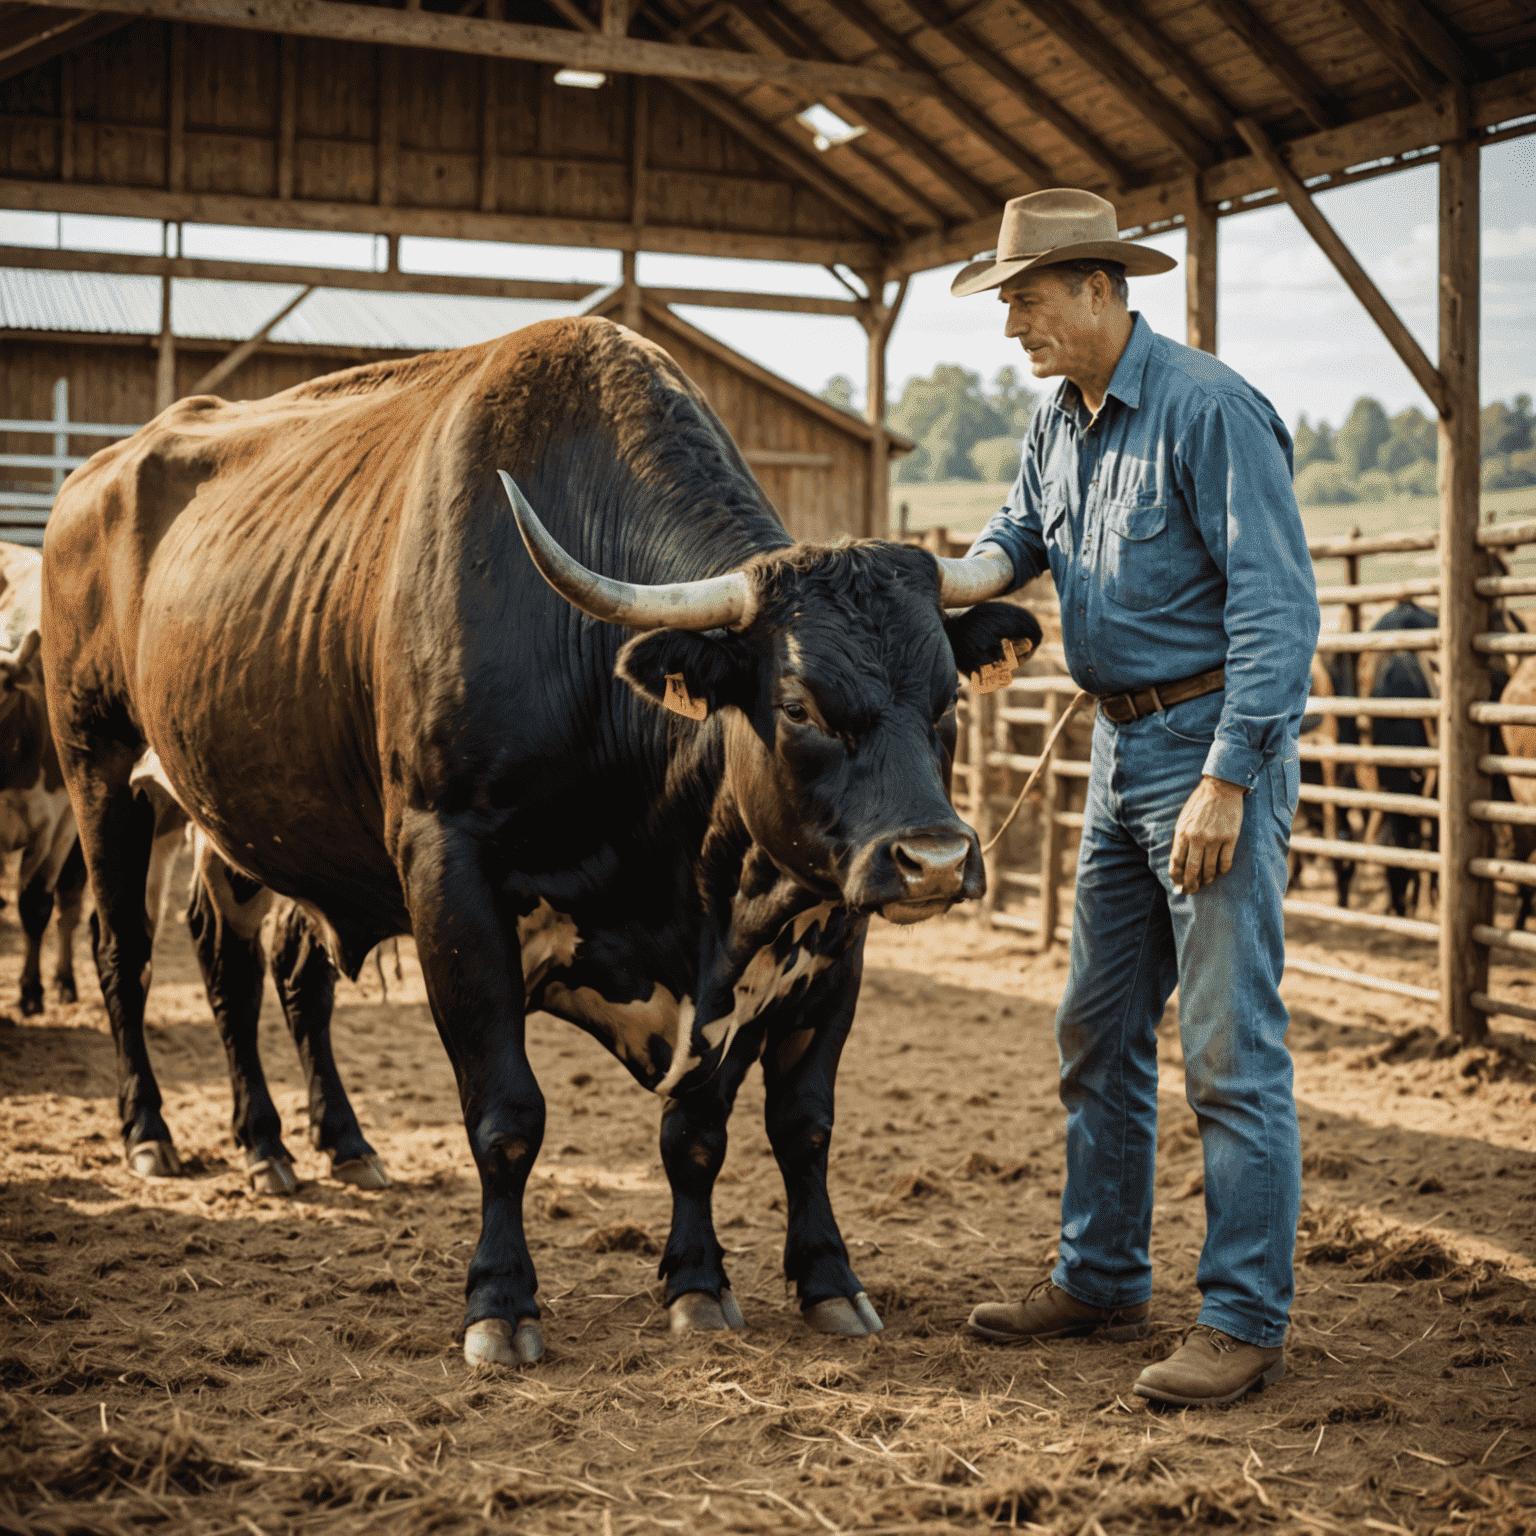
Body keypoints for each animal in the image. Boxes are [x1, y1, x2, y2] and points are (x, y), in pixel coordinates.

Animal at [42, 314, 1038, 1370]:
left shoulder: (822, 933)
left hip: (263, 827)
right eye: (800, 704)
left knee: (260, 967)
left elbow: (765, 1125)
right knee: (126, 953)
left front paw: (766, 1282)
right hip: (103, 774)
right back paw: (152, 1132)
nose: (935, 859)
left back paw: (303, 1144)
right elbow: (507, 1116)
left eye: (948, 698)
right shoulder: (452, 882)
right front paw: (501, 1301)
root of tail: (92, 477)